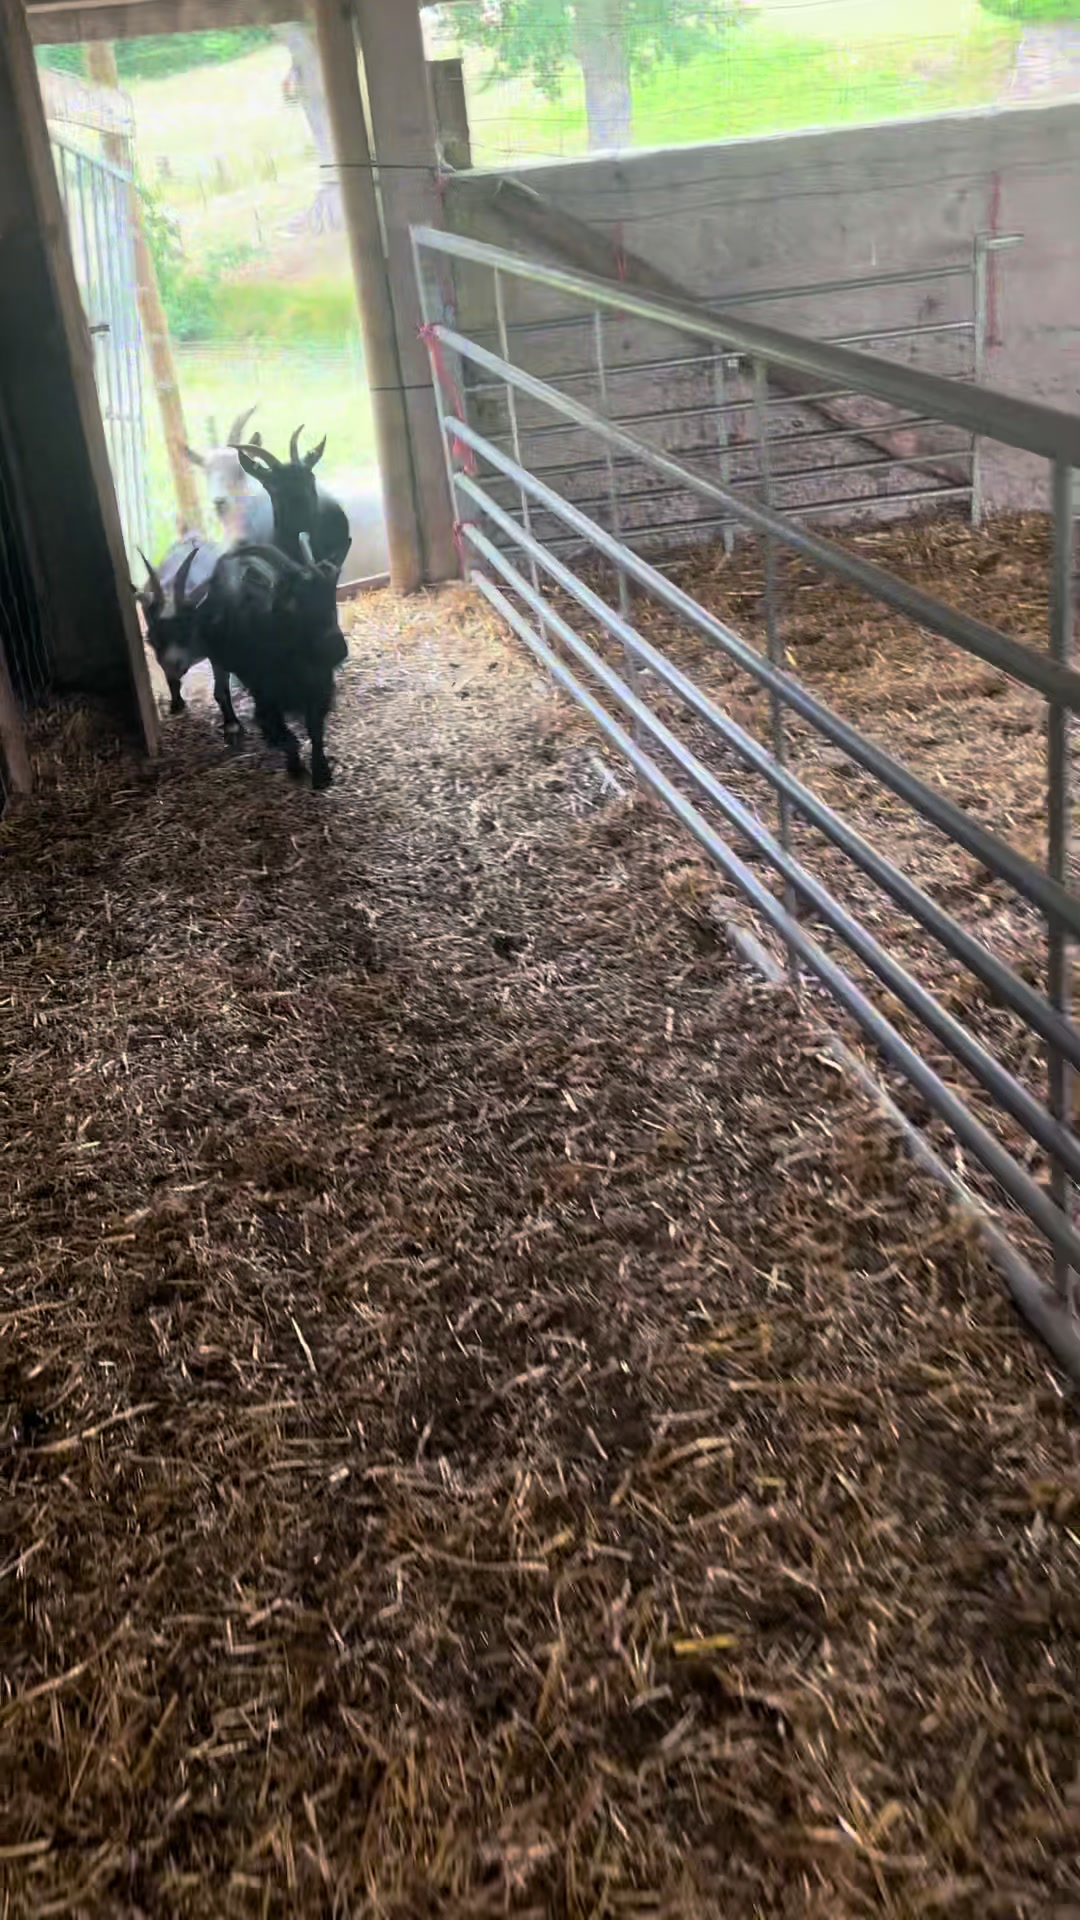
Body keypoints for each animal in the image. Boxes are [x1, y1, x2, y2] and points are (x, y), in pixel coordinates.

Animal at [136, 536, 239, 731]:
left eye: (187, 631)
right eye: (151, 640)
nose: (172, 665)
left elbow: (221, 690)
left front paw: (232, 725)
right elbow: (171, 680)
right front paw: (177, 705)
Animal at [196, 534, 348, 790]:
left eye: (332, 594)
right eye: (291, 604)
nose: (336, 649)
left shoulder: (321, 687)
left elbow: (315, 730)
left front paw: (322, 773)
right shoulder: (265, 695)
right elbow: (285, 736)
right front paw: (296, 769)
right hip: (217, 656)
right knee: (221, 688)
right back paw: (232, 726)